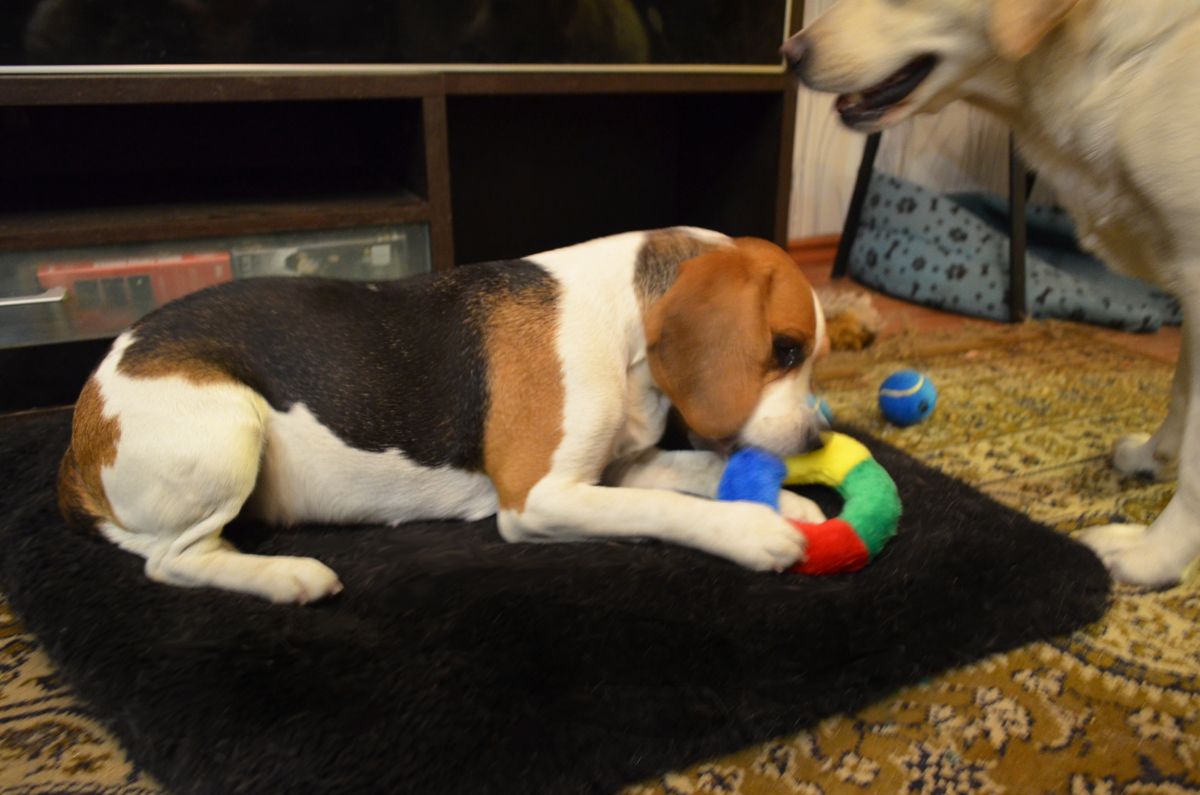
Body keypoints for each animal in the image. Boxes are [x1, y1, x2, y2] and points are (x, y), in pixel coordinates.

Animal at [58, 229, 829, 603]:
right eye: (785, 350)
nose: (818, 436)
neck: (623, 325)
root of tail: (79, 431)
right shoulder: (537, 498)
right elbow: (668, 510)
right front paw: (751, 529)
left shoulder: (620, 467)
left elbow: (698, 468)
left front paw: (785, 499)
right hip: (226, 429)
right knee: (173, 562)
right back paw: (286, 577)